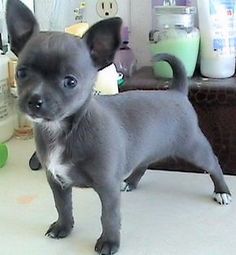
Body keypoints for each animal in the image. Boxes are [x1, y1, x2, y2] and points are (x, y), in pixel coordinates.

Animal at [6, 0, 231, 255]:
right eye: (21, 73)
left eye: (70, 81)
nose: (35, 100)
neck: (64, 130)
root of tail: (177, 91)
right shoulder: (57, 182)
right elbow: (62, 207)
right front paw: (63, 227)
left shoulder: (107, 189)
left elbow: (109, 217)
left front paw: (109, 242)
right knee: (143, 164)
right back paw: (131, 181)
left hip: (194, 149)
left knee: (213, 164)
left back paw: (222, 191)